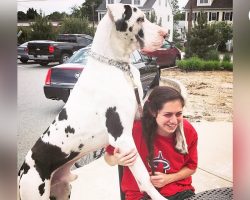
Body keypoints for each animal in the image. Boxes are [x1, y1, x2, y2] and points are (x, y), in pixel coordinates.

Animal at [18, 3, 188, 200]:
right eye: (139, 19)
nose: (166, 33)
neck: (116, 66)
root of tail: (21, 171)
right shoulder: (122, 138)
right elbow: (144, 178)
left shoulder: (139, 112)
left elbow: (180, 118)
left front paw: (181, 142)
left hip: (63, 189)